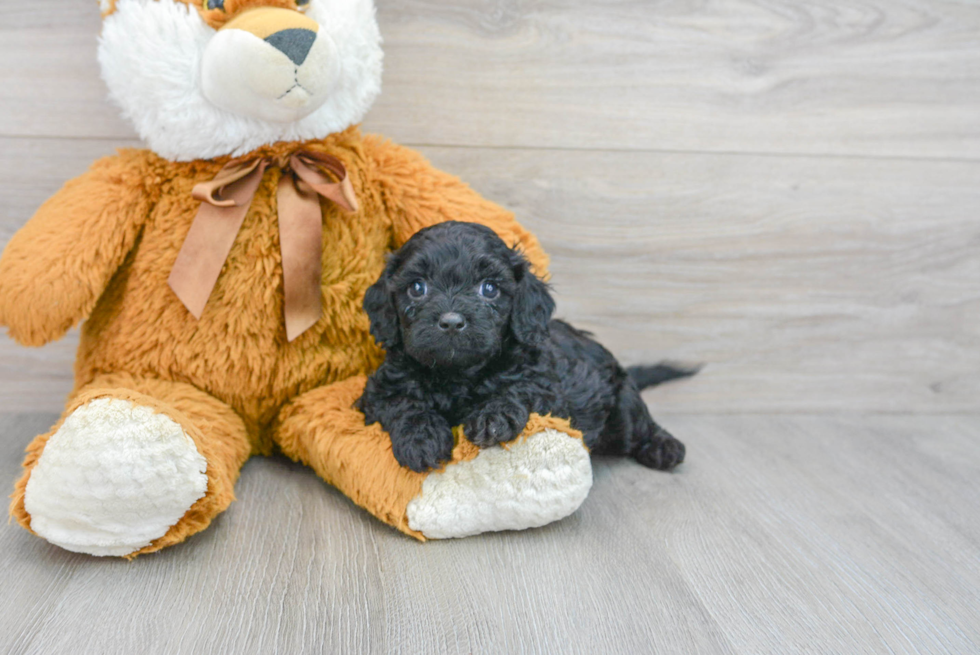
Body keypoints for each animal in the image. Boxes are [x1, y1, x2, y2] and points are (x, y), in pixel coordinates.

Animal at [356, 223, 692, 474]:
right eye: (417, 287)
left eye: (489, 288)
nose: (451, 322)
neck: (457, 375)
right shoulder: (377, 391)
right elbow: (403, 403)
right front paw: (421, 438)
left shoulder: (543, 385)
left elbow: (517, 390)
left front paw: (492, 417)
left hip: (622, 407)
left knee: (640, 424)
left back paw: (664, 447)